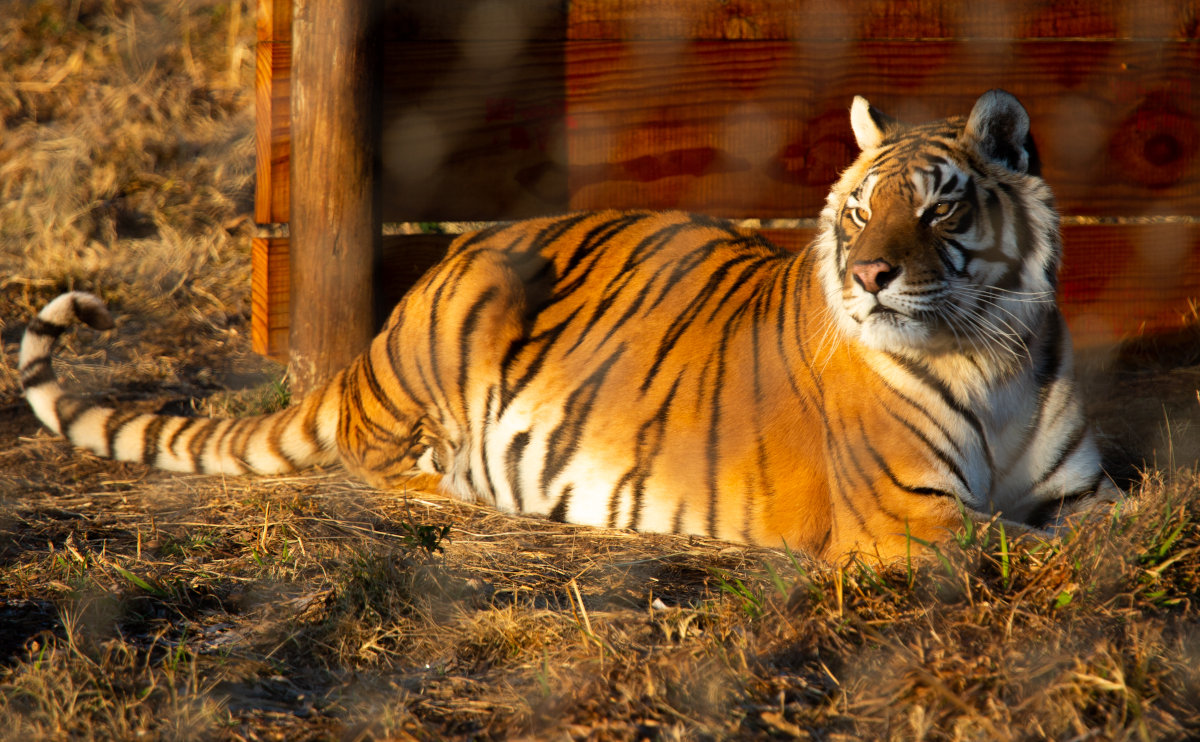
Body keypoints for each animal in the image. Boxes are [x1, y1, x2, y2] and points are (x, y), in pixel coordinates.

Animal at [20, 89, 1116, 562]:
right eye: (856, 210)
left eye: (939, 208)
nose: (868, 273)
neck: (993, 353)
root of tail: (371, 347)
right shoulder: (910, 515)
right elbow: (1034, 552)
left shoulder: (1080, 490)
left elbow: (1108, 524)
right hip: (468, 309)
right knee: (374, 461)